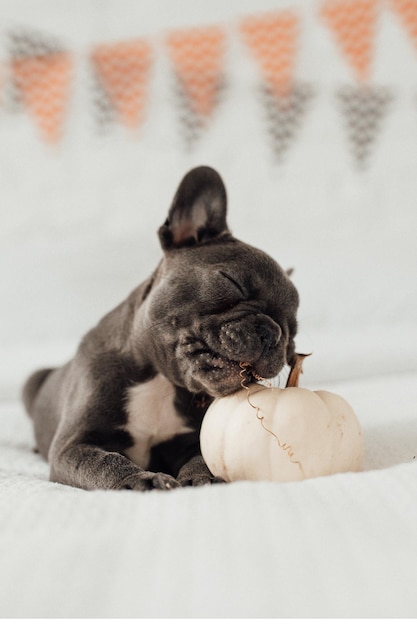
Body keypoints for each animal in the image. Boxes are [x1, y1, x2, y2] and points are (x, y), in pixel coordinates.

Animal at [22, 166, 298, 488]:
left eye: (292, 335)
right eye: (233, 282)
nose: (273, 333)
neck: (159, 380)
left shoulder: (191, 441)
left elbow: (200, 457)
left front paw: (202, 477)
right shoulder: (73, 445)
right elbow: (103, 462)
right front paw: (138, 479)